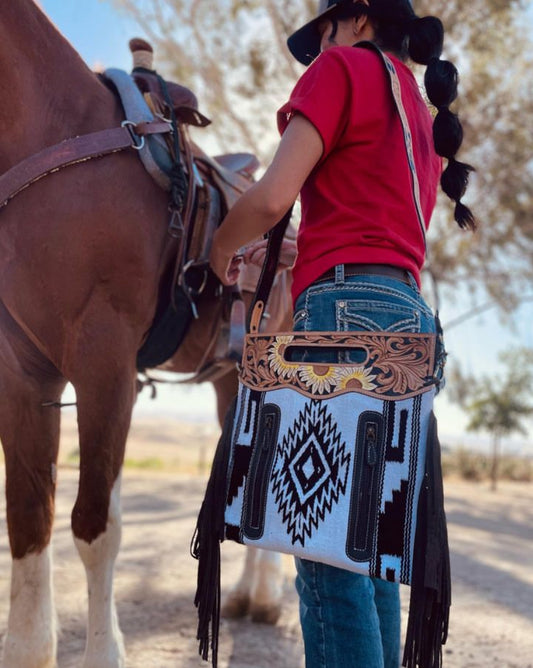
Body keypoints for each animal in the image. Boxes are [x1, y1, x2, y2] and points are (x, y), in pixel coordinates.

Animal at [0, 2, 290, 664]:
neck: (54, 130)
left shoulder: (105, 366)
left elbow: (95, 527)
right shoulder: (23, 374)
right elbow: (29, 519)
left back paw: (265, 599)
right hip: (231, 383)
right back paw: (248, 595)